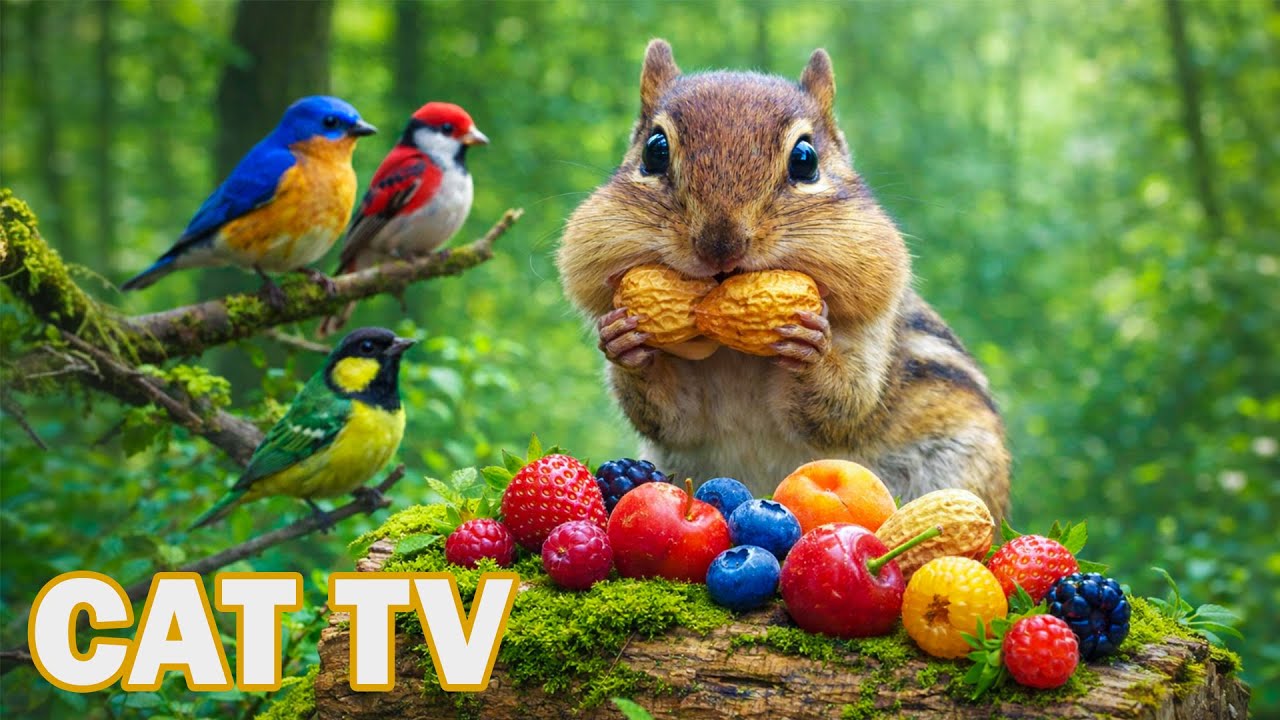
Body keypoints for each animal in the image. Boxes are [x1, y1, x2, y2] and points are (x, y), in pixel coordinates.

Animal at [557, 40, 1011, 521]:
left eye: (805, 160)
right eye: (654, 152)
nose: (721, 246)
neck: (734, 355)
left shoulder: (872, 339)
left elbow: (844, 405)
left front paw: (810, 345)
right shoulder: (677, 420)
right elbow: (668, 416)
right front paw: (625, 340)